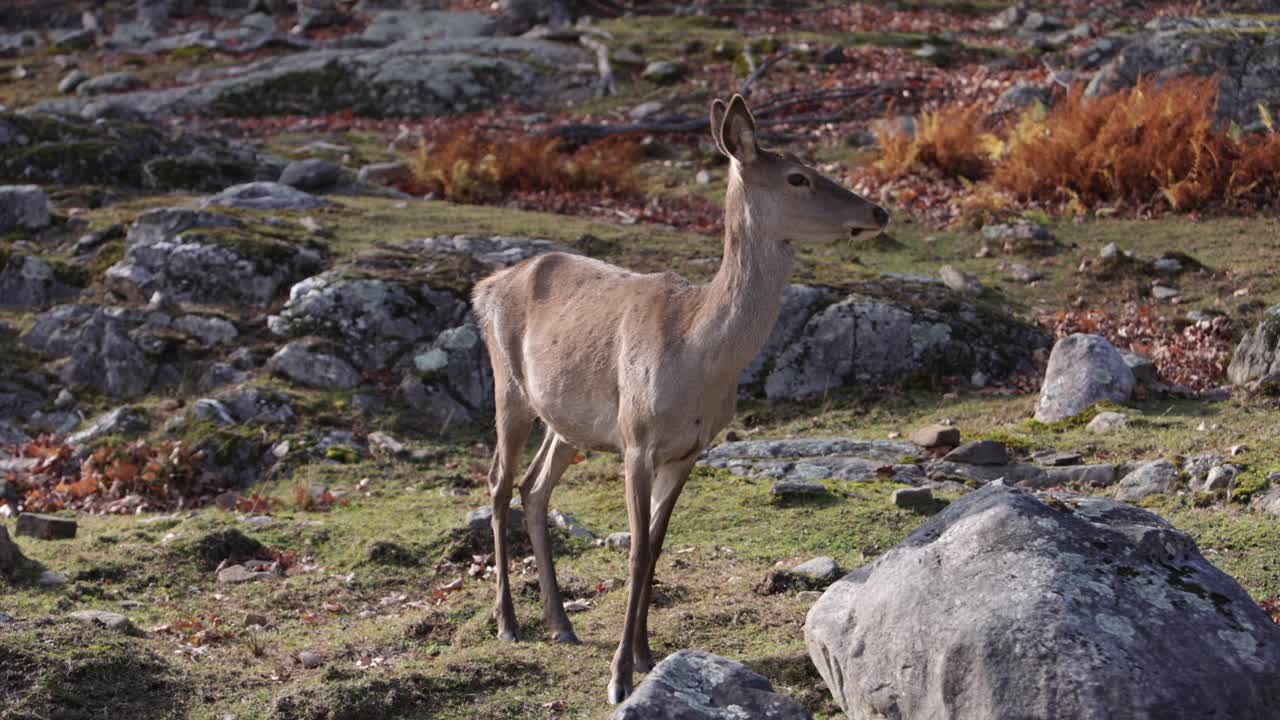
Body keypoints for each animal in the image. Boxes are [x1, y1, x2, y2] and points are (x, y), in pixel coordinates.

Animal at [471, 94, 890, 704]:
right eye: (798, 176)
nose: (879, 212)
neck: (699, 353)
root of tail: (484, 287)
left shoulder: (689, 449)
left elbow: (658, 546)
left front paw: (647, 655)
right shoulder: (637, 441)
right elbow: (636, 549)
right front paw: (619, 677)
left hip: (568, 421)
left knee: (534, 487)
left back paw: (561, 624)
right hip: (509, 387)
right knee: (498, 483)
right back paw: (507, 623)